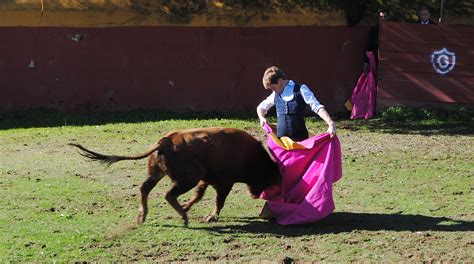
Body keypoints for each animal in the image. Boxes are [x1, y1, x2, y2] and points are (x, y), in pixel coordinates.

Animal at [68, 127, 280, 226]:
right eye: (268, 178)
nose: (256, 194)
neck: (251, 157)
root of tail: (164, 142)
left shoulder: (205, 179)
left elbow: (198, 195)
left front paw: (187, 206)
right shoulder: (223, 183)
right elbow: (218, 201)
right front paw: (210, 216)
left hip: (157, 172)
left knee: (145, 188)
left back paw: (143, 216)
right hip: (188, 178)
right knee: (169, 194)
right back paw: (183, 218)